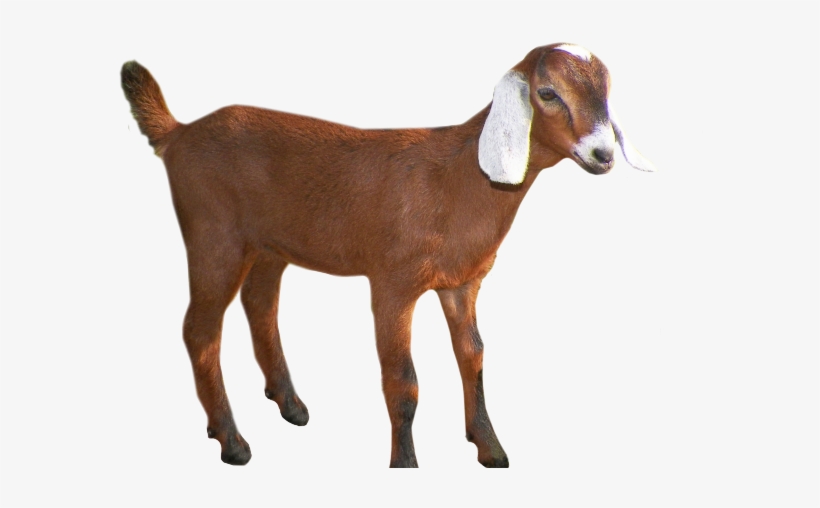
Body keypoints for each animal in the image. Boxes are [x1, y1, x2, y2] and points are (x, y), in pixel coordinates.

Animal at [121, 43, 655, 468]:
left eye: (607, 90)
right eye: (547, 92)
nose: (603, 154)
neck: (459, 178)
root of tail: (178, 133)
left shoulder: (461, 283)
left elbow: (474, 356)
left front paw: (490, 448)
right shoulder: (393, 284)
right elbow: (403, 381)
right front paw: (405, 463)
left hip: (269, 244)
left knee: (260, 307)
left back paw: (289, 404)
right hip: (214, 237)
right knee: (200, 330)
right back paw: (232, 441)